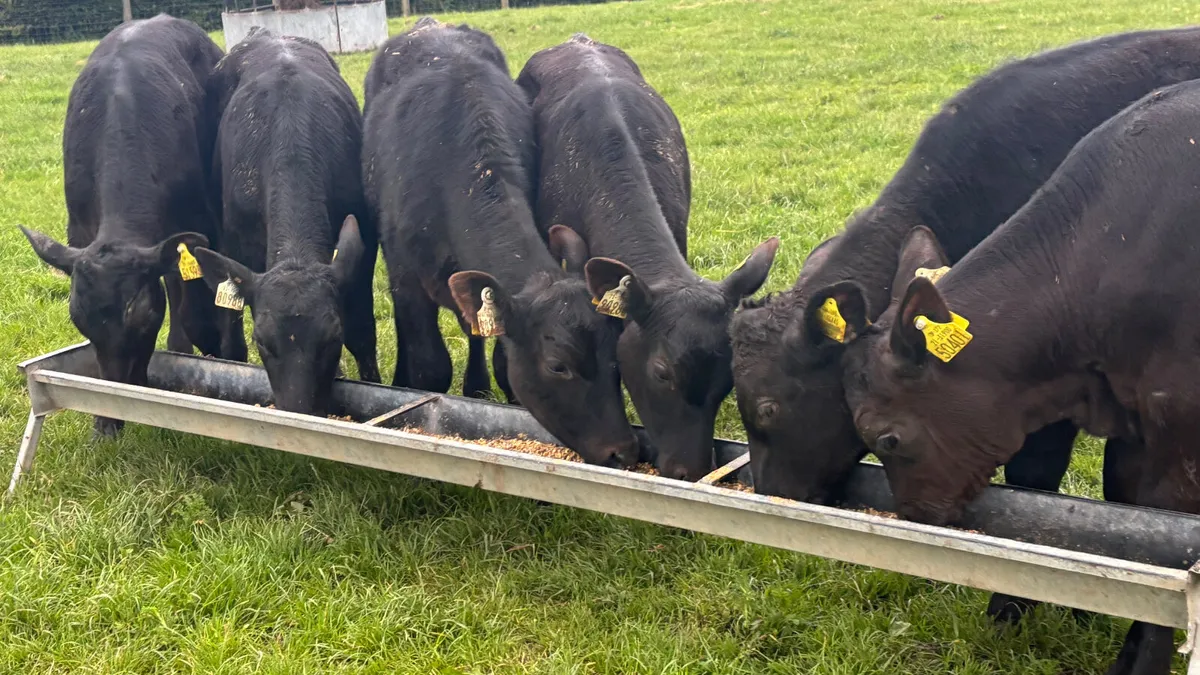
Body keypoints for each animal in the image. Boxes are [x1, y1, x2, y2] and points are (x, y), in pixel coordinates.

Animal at [19, 15, 224, 438]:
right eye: (78, 319)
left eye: (142, 316)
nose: (119, 401)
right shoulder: (79, 230)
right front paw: (105, 421)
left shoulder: (200, 224)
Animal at [190, 29, 380, 416]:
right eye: (262, 341)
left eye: (332, 337)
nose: (299, 408)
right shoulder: (237, 242)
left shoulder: (363, 242)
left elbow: (363, 332)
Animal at [362, 19, 639, 467]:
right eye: (558, 365)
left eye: (616, 358)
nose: (623, 451)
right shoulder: (405, 277)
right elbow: (429, 366)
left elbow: (497, 351)